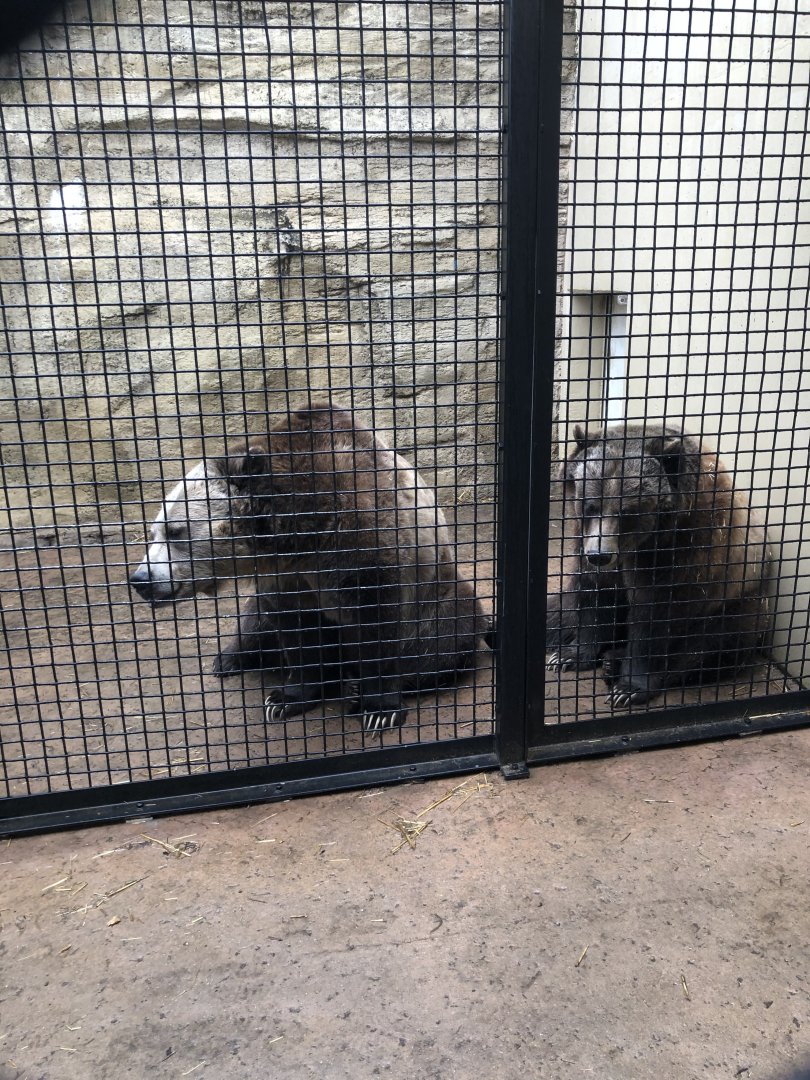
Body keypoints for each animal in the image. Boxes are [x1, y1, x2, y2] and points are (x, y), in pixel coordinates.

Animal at [129, 401, 491, 732]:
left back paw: (362, 685)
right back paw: (229, 659)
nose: (141, 578)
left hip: (439, 601)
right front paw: (285, 699)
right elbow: (297, 631)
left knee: (440, 643)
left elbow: (379, 624)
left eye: (176, 531)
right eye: (154, 531)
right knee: (254, 625)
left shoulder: (367, 546)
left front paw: (380, 709)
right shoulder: (285, 577)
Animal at [546, 421, 772, 707]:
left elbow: (653, 615)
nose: (600, 555)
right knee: (559, 611)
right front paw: (569, 655)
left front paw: (629, 688)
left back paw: (616, 663)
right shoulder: (586, 541)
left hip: (737, 602)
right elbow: (596, 595)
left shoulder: (683, 554)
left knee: (707, 646)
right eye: (590, 505)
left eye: (627, 511)